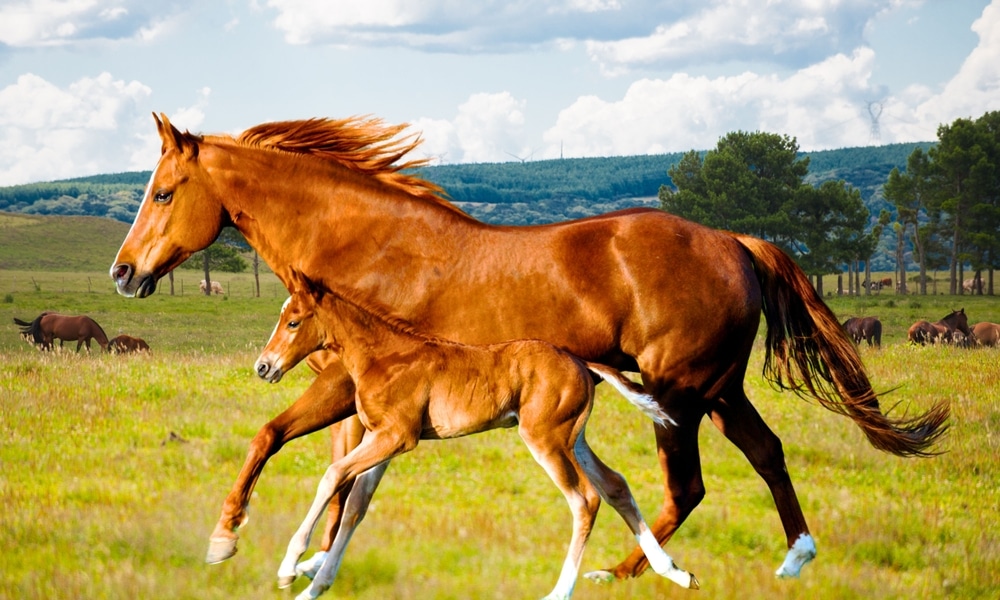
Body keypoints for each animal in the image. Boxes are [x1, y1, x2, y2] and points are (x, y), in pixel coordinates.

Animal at [256, 274, 696, 600]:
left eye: (293, 321)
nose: (264, 366)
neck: (383, 356)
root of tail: (581, 362)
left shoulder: (398, 436)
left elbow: (332, 476)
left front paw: (289, 567)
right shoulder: (381, 440)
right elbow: (355, 507)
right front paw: (313, 588)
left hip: (545, 439)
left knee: (585, 499)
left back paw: (559, 592)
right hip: (574, 438)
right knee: (615, 485)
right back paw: (675, 572)